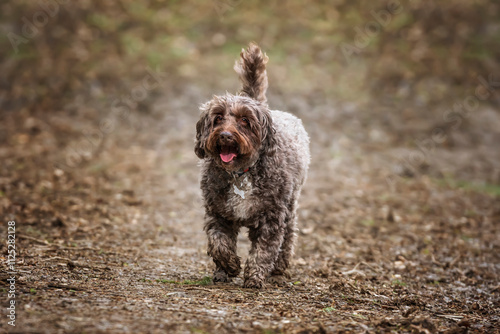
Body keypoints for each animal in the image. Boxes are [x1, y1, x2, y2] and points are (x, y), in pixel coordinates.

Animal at [194, 42, 308, 290]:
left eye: (245, 121)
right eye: (218, 118)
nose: (225, 136)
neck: (240, 173)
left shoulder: (272, 217)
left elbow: (264, 250)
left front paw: (255, 277)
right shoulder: (218, 212)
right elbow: (218, 243)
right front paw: (229, 266)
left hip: (290, 206)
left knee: (288, 239)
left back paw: (278, 271)